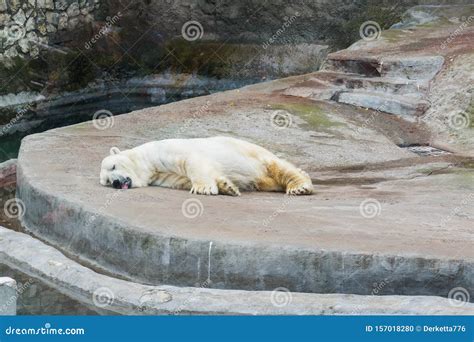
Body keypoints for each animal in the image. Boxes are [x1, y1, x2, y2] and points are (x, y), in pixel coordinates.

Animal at [99, 136, 314, 196]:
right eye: (107, 182)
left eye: (113, 167)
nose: (116, 183)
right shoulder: (162, 175)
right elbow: (183, 179)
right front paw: (227, 187)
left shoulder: (164, 152)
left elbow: (191, 162)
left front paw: (203, 189)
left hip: (256, 155)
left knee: (278, 167)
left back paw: (299, 186)